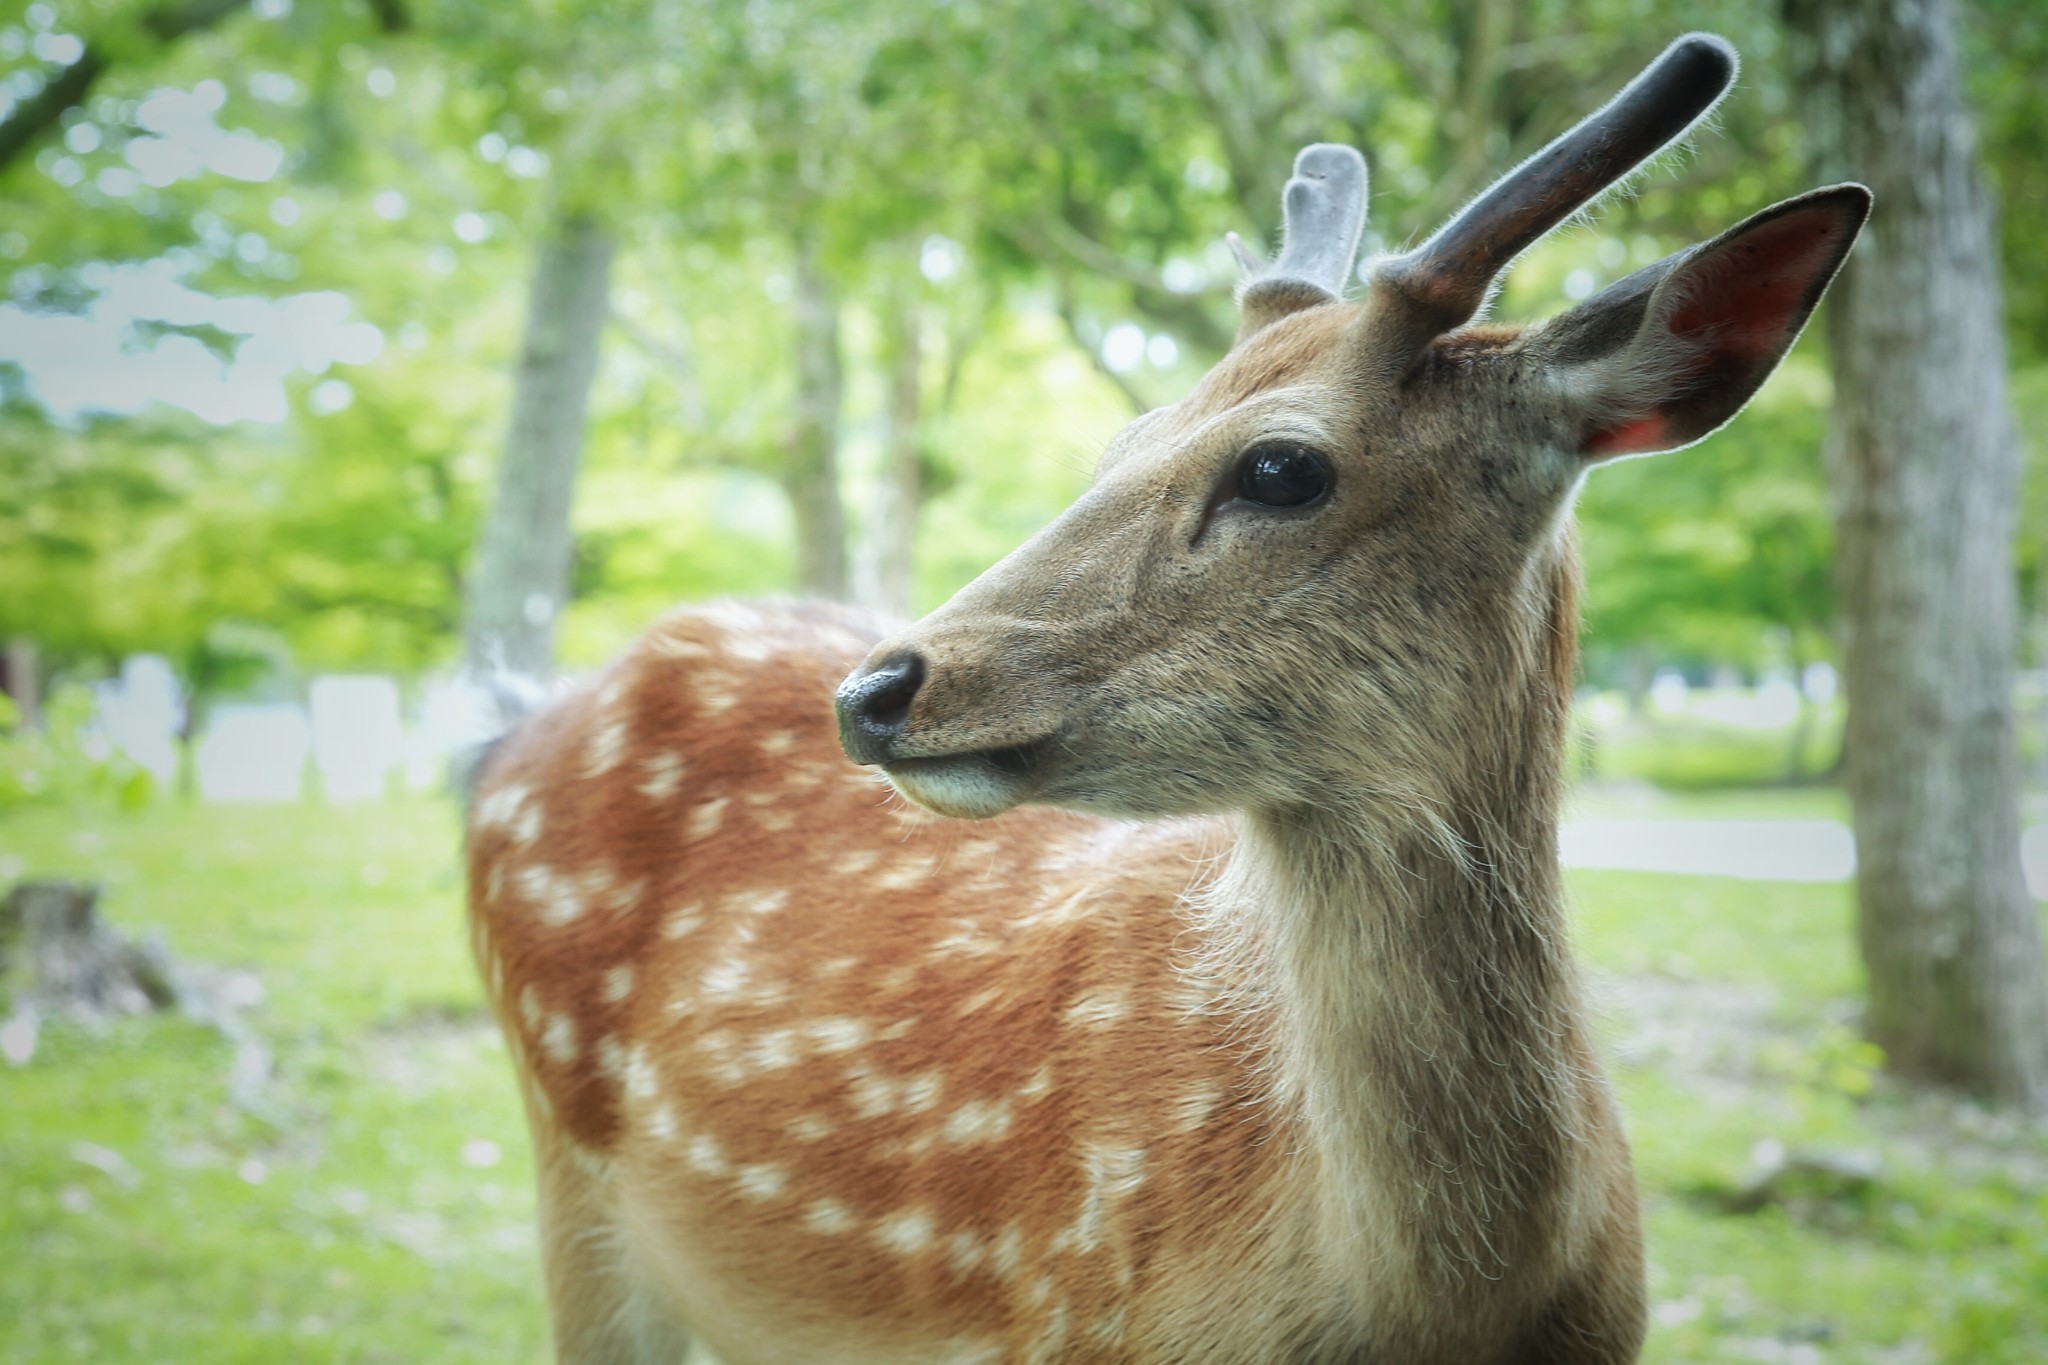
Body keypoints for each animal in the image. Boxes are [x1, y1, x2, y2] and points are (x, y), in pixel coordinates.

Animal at [468, 34, 1875, 1365]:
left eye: (1280, 466)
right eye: (1121, 441)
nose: (873, 690)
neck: (1430, 1315)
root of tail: (506, 735)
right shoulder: (1066, 1314)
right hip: (567, 1169)